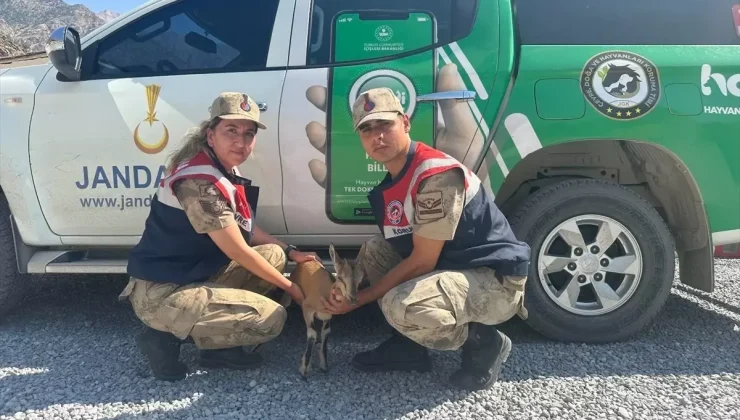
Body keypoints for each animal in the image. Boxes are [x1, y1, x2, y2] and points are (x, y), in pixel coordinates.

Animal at [284, 243, 364, 380]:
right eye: (340, 277)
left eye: (360, 278)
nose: (353, 298)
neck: (326, 292)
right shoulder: (307, 308)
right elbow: (312, 334)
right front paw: (305, 369)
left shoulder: (328, 317)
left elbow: (325, 334)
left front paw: (324, 366)